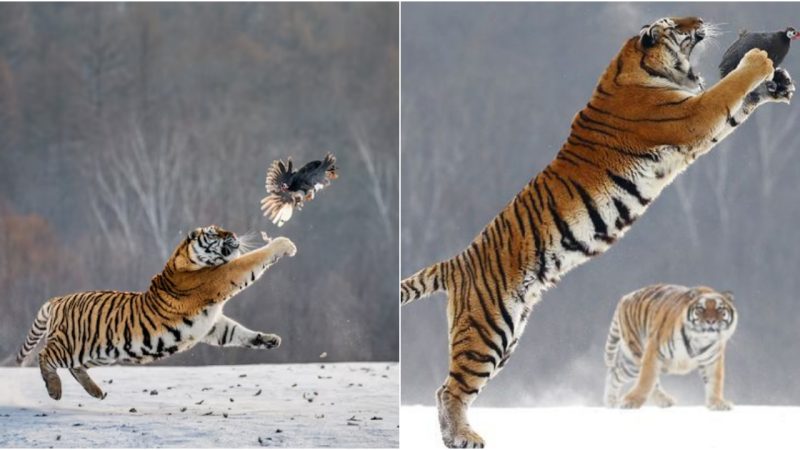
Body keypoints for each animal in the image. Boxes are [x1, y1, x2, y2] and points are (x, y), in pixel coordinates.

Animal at [15, 225, 296, 400]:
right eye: (215, 232)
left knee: (75, 368)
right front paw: (285, 244)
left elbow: (237, 333)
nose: (234, 233)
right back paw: (54, 390)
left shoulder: (212, 325)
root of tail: (58, 299)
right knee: (44, 355)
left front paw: (269, 340)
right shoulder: (220, 278)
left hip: (99, 352)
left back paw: (97, 392)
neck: (187, 260)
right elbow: (251, 261)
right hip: (71, 345)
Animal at [404, 15, 792, 448]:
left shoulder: (699, 127)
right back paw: (465, 437)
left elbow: (736, 108)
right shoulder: (691, 116)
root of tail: (457, 262)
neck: (637, 67)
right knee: (452, 388)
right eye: (678, 24)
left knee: (446, 388)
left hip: (505, 336)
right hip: (487, 332)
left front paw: (777, 85)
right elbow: (728, 91)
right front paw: (760, 63)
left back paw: (454, 436)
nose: (701, 20)